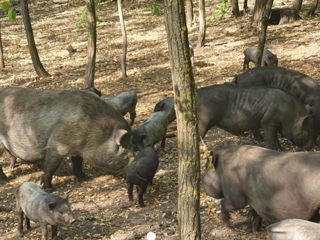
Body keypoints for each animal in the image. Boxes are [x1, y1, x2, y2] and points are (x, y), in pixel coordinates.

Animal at [0, 87, 132, 188]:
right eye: (125, 149)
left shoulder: (77, 147)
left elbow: (78, 163)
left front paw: (85, 178)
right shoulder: (57, 144)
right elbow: (51, 165)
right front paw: (48, 188)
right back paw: (5, 181)